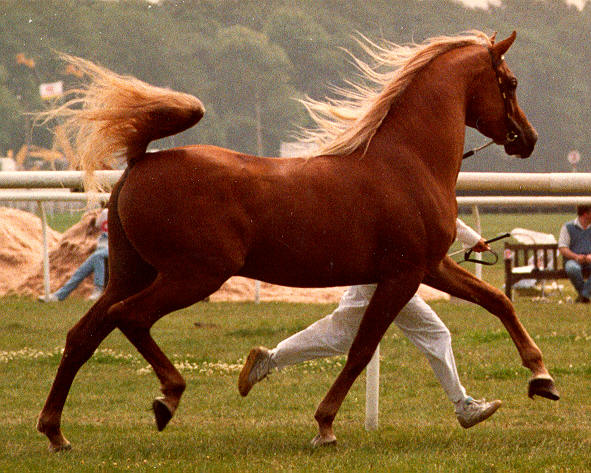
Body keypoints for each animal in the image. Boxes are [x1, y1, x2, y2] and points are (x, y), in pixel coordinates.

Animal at [38, 29, 560, 450]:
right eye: (510, 82)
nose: (529, 138)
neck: (409, 161)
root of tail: (140, 160)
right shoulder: (404, 275)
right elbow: (361, 349)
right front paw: (324, 426)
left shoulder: (430, 267)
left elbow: (497, 300)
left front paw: (541, 379)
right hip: (193, 275)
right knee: (130, 318)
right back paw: (168, 397)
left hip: (130, 273)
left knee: (83, 335)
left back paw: (55, 432)